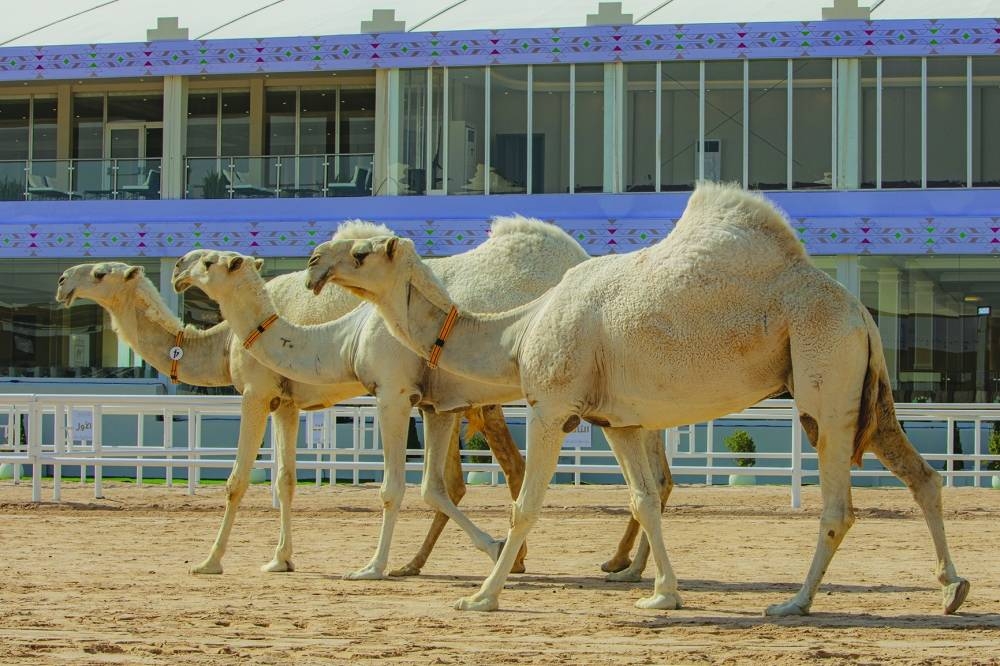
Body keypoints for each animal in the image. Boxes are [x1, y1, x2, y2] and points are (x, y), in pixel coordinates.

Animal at [54, 251, 529, 580]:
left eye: (99, 273)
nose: (61, 281)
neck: (224, 343)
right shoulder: (288, 404)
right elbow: (284, 481)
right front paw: (279, 559)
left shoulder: (257, 392)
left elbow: (238, 481)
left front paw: (209, 561)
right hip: (450, 404)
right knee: (457, 481)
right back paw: (440, 562)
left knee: (500, 469)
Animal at [173, 217, 669, 582]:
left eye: (212, 262)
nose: (177, 267)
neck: (348, 337)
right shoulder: (437, 406)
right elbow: (435, 487)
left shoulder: (391, 393)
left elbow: (393, 487)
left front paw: (372, 567)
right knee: (654, 478)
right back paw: (626, 567)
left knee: (642, 478)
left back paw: (622, 567)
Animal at [302, 182, 970, 616]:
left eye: (360, 251)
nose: (311, 262)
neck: (519, 332)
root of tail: (861, 311)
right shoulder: (618, 421)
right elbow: (645, 499)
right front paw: (663, 592)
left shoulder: (551, 404)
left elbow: (525, 505)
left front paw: (483, 595)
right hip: (862, 395)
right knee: (923, 476)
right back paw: (952, 588)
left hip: (823, 379)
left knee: (838, 506)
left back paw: (795, 602)